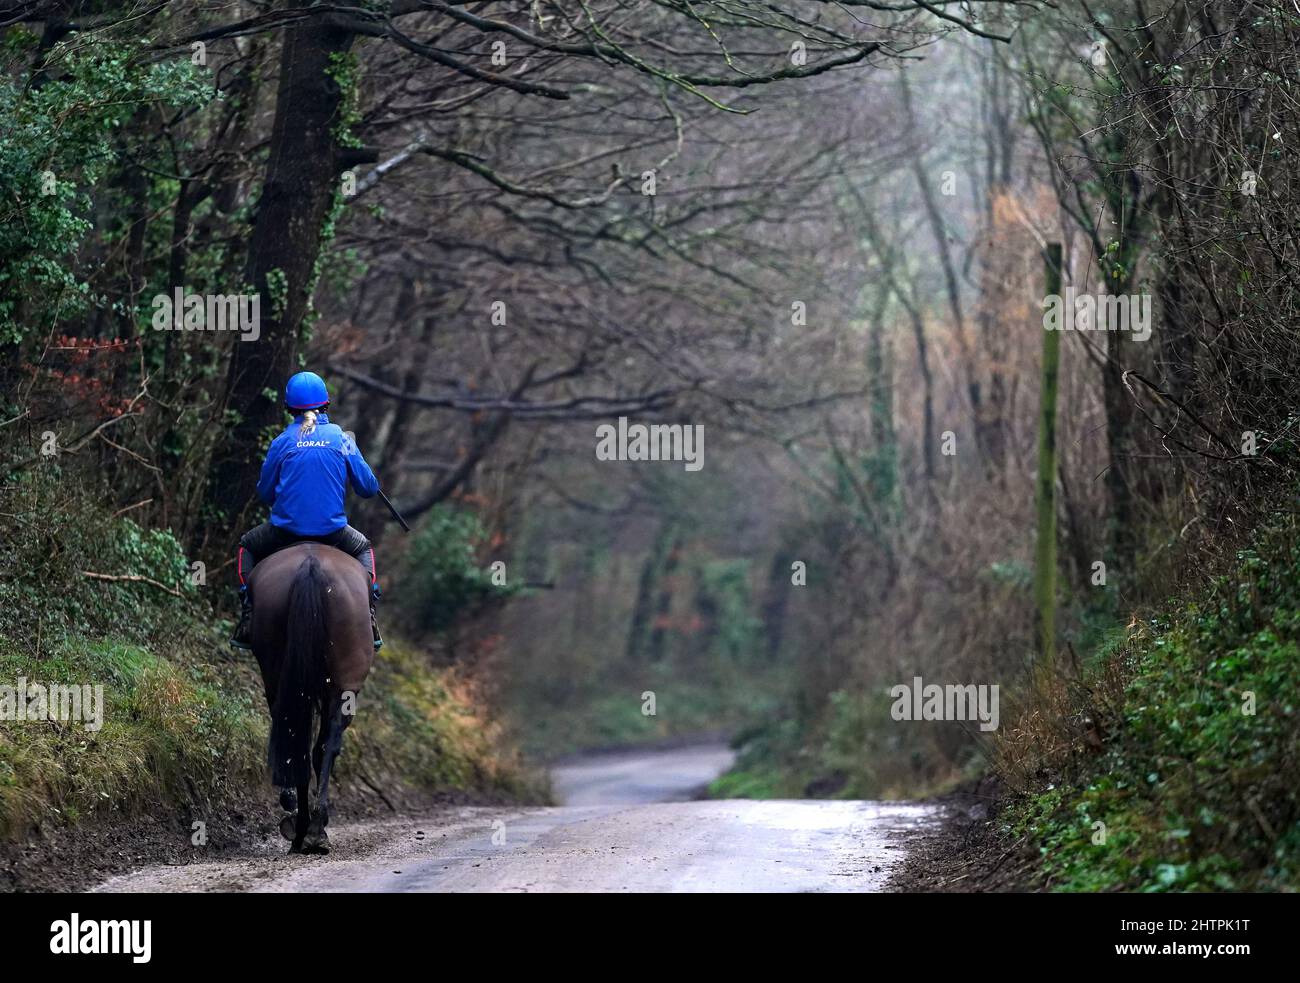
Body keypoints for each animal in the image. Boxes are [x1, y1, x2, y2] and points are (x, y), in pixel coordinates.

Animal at [246, 538, 377, 852]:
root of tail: (311, 567)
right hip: (342, 684)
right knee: (322, 745)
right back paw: (313, 828)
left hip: (280, 672)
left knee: (299, 738)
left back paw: (306, 828)